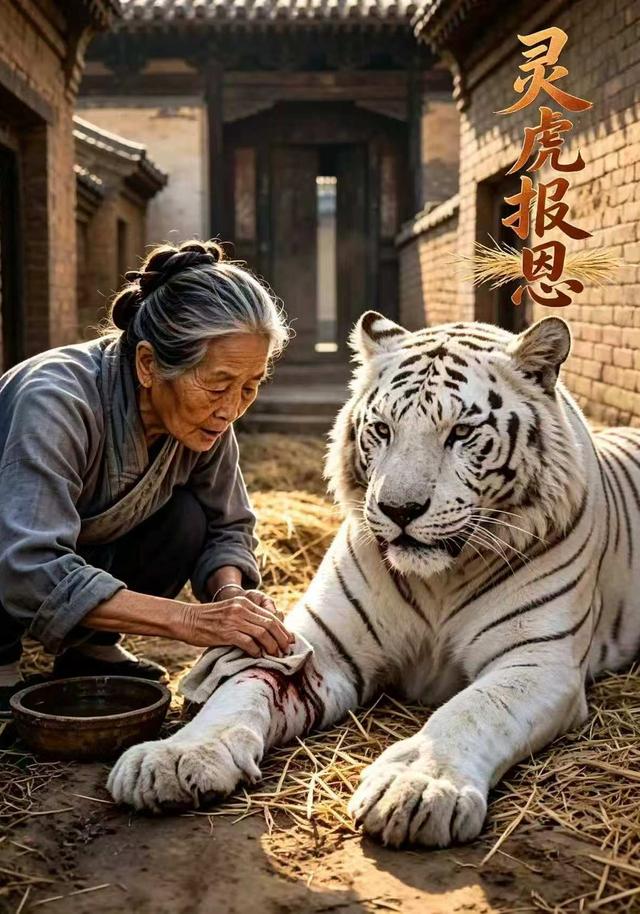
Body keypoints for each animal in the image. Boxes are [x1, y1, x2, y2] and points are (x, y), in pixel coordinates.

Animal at [108, 311, 640, 848]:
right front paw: (175, 756)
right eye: (383, 429)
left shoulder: (537, 661)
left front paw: (418, 787)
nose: (399, 510)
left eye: (461, 432)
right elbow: (240, 689)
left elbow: (475, 708)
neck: (439, 580)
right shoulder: (322, 647)